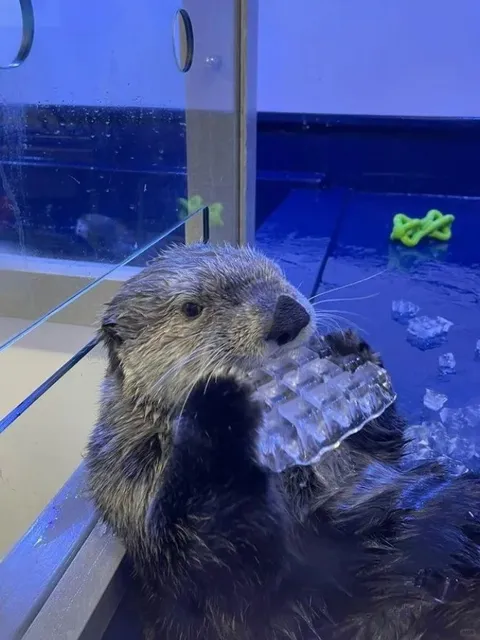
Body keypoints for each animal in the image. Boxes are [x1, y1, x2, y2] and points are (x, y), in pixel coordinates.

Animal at [86, 243, 480, 640]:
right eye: (192, 308)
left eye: (276, 273)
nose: (289, 314)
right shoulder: (136, 489)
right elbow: (227, 566)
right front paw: (217, 405)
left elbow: (383, 448)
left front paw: (349, 347)